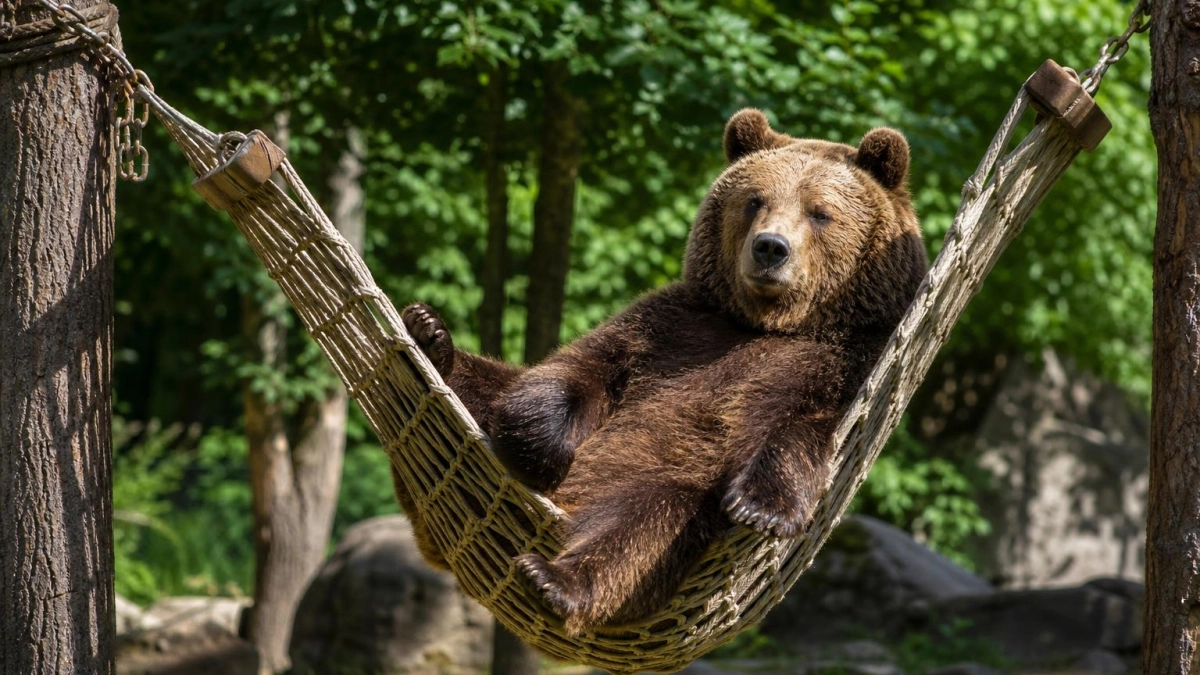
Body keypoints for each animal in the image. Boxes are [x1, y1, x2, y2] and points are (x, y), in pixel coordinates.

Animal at [395, 108, 928, 635]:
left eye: (820, 212)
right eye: (755, 200)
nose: (771, 248)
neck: (772, 323)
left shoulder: (846, 362)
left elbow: (800, 429)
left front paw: (759, 507)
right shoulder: (667, 327)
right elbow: (576, 370)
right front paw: (544, 450)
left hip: (672, 491)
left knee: (644, 521)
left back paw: (553, 579)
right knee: (488, 391)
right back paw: (429, 336)